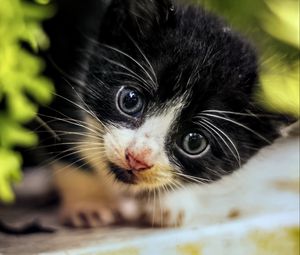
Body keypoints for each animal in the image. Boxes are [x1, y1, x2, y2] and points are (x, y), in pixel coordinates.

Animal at [37, 0, 288, 227]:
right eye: (130, 100)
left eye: (194, 142)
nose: (137, 157)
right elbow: (63, 146)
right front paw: (89, 204)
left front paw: (171, 201)